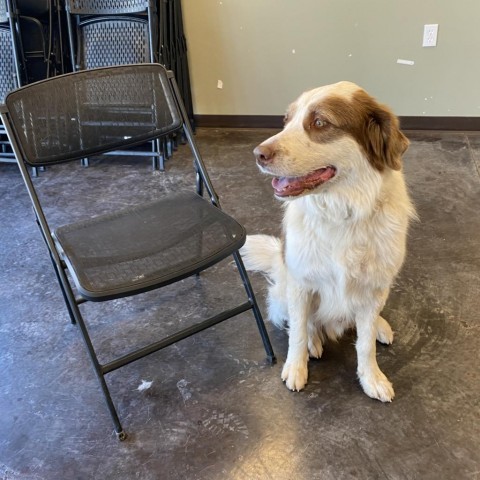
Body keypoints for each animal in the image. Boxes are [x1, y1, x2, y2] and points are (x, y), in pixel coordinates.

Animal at [242, 82, 414, 402]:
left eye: (320, 122)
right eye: (287, 120)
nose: (258, 154)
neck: (342, 211)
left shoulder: (373, 286)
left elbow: (364, 344)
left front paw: (371, 378)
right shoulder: (301, 283)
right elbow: (298, 332)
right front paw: (296, 368)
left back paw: (380, 327)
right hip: (285, 288)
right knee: (302, 323)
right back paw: (314, 340)